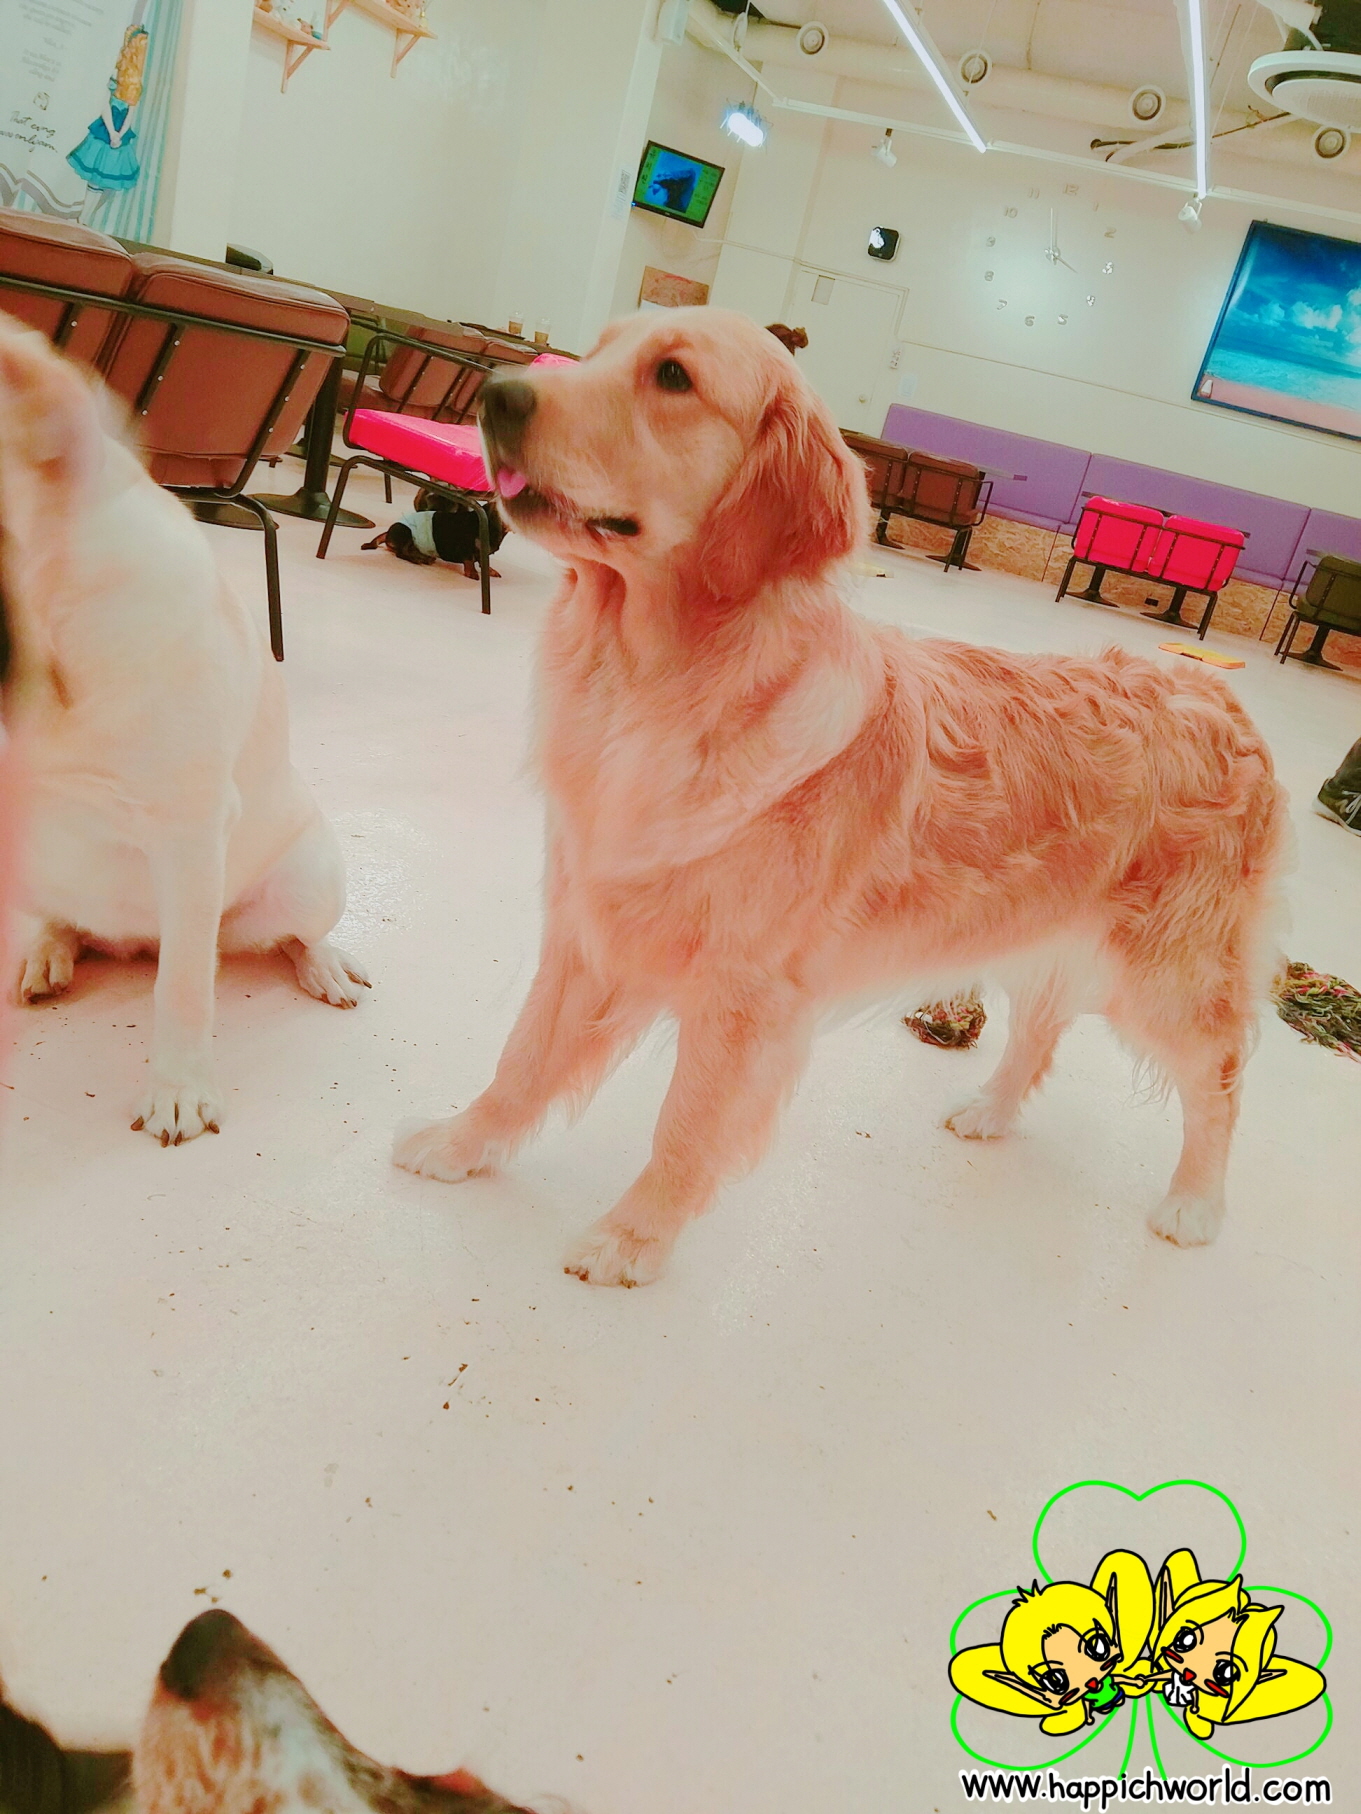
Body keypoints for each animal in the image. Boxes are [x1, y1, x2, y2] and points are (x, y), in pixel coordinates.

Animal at [0, 316, 369, 1144]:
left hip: (308, 880)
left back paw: (324, 964)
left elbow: (185, 989)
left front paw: (179, 1089)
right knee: (71, 922)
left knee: (281, 939)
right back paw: (51, 948)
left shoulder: (191, 832)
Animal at [393, 307, 1287, 1286]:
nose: (494, 394)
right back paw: (990, 1109)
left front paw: (632, 1239)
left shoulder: (746, 995)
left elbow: (683, 1126)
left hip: (1170, 974)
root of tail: (1218, 696)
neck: (659, 681)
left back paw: (1194, 1204)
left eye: (672, 377)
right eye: (595, 350)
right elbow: (522, 1060)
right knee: (1041, 1026)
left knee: (1221, 1081)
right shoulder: (588, 930)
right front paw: (460, 1144)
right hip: (1036, 927)